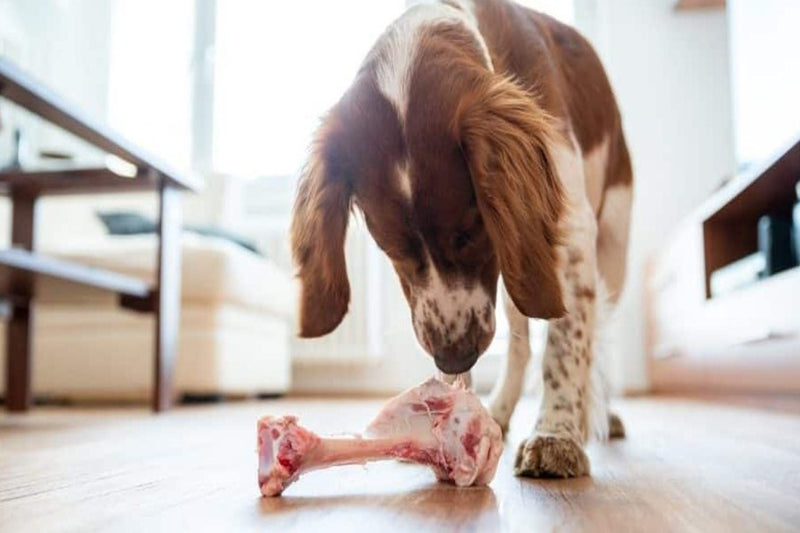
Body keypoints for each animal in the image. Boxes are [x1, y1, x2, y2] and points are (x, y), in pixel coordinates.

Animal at [288, 0, 632, 476]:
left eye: (470, 233)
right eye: (392, 248)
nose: (456, 357)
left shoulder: (570, 235)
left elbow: (566, 346)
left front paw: (557, 435)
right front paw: (446, 424)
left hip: (605, 248)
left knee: (600, 333)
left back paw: (595, 416)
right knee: (521, 346)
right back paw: (501, 410)